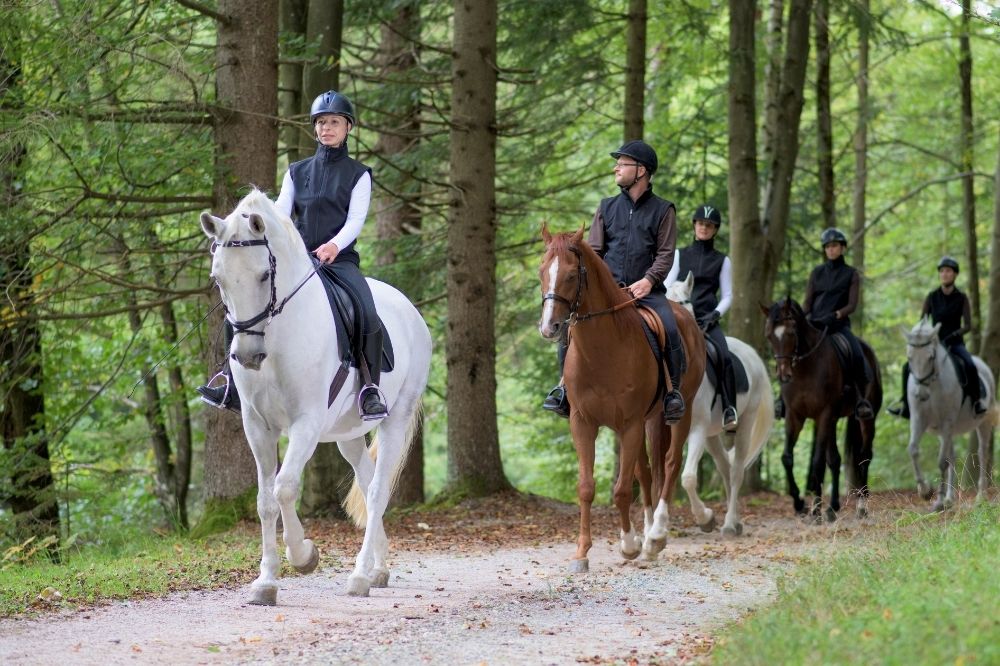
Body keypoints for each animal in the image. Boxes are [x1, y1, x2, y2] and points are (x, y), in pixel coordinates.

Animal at [200, 189, 431, 605]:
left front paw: (304, 555)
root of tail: (411, 311)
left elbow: (285, 487)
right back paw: (378, 569)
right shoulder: (257, 426)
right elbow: (264, 500)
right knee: (368, 481)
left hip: (395, 418)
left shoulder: (304, 424)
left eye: (264, 275)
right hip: (348, 435)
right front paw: (266, 582)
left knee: (377, 490)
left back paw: (359, 576)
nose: (247, 356)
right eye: (218, 278)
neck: (277, 337)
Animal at [537, 226, 705, 572]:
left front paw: (629, 545)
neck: (603, 349)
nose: (549, 327)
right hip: (649, 420)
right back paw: (648, 534)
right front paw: (582, 552)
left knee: (670, 464)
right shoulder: (583, 423)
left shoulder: (629, 425)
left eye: (571, 275)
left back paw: (656, 535)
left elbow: (622, 490)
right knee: (648, 470)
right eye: (541, 271)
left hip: (679, 413)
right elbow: (587, 488)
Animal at [666, 273, 774, 536]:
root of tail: (752, 354)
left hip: (744, 423)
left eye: (684, 302)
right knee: (725, 467)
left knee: (736, 471)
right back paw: (735, 521)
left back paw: (729, 524)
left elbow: (688, 477)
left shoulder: (696, 429)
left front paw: (705, 518)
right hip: (712, 435)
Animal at [760, 297, 881, 521]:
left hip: (867, 419)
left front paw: (815, 510)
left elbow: (817, 462)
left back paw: (861, 507)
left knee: (864, 457)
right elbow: (787, 458)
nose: (783, 375)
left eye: (791, 333)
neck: (805, 367)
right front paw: (800, 504)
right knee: (835, 460)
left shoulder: (823, 414)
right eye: (769, 336)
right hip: (833, 421)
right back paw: (832, 507)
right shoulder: (795, 416)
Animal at [903, 317, 996, 510]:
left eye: (931, 357)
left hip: (982, 422)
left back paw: (980, 496)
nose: (921, 394)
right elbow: (913, 450)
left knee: (982, 453)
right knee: (952, 456)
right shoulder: (919, 420)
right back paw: (950, 498)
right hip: (948, 431)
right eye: (909, 357)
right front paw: (925, 491)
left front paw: (937, 501)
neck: (933, 385)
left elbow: (941, 461)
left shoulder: (947, 422)